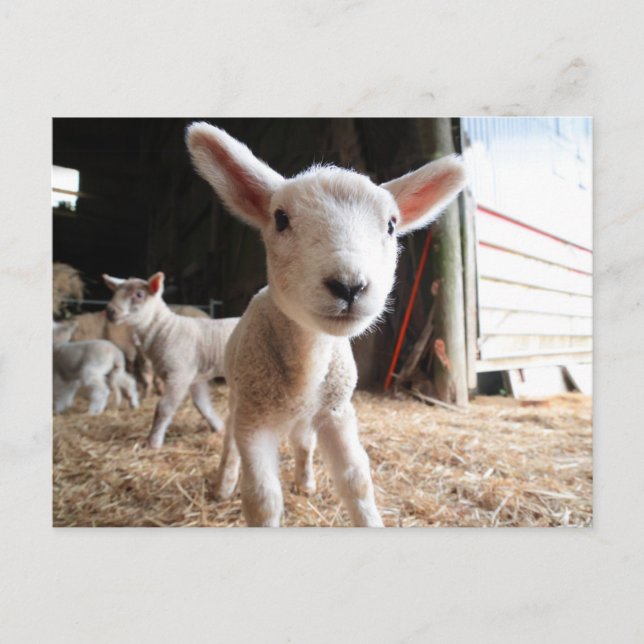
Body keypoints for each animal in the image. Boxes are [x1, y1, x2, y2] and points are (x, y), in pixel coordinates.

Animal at [102, 273, 240, 448]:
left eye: (139, 295)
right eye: (115, 292)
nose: (110, 311)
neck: (167, 329)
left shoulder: (179, 374)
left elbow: (164, 407)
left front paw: (153, 442)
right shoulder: (195, 377)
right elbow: (202, 405)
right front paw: (219, 428)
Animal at [186, 123, 466, 527]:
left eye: (391, 225)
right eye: (281, 218)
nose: (349, 286)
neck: (308, 363)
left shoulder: (337, 412)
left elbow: (356, 481)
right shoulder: (255, 421)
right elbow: (262, 498)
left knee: (303, 442)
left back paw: (305, 482)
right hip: (241, 397)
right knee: (230, 442)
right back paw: (224, 484)